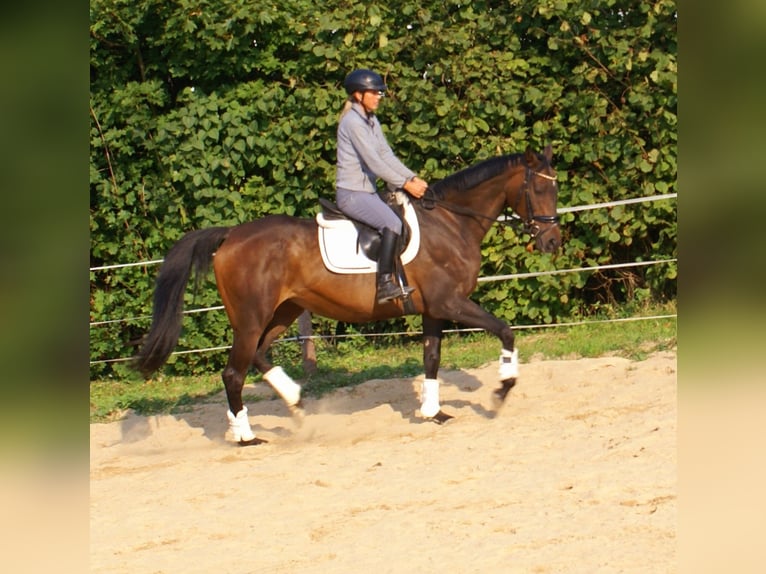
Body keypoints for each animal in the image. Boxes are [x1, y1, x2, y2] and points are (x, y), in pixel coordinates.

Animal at [135, 144, 560, 446]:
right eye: (539, 188)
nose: (553, 242)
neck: (450, 222)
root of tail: (230, 236)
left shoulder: (433, 310)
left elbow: (432, 358)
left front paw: (432, 412)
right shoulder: (451, 303)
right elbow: (504, 330)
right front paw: (503, 388)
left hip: (282, 312)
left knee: (258, 355)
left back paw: (293, 403)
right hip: (251, 318)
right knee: (233, 372)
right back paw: (246, 436)